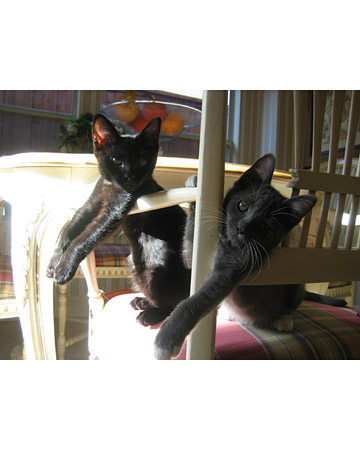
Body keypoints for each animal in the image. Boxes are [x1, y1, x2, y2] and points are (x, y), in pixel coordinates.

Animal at [47, 112, 191, 324]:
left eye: (142, 161)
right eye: (116, 160)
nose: (130, 177)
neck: (110, 186)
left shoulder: (113, 213)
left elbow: (83, 239)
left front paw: (63, 269)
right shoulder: (89, 207)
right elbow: (68, 230)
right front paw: (54, 261)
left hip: (158, 264)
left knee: (176, 303)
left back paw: (150, 315)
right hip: (132, 262)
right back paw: (143, 301)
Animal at [154, 155, 346, 358]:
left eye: (265, 226)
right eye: (242, 205)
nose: (242, 228)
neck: (227, 241)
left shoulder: (232, 270)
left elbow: (198, 300)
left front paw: (166, 341)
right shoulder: (193, 256)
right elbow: (189, 247)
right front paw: (195, 185)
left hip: (295, 285)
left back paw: (282, 320)